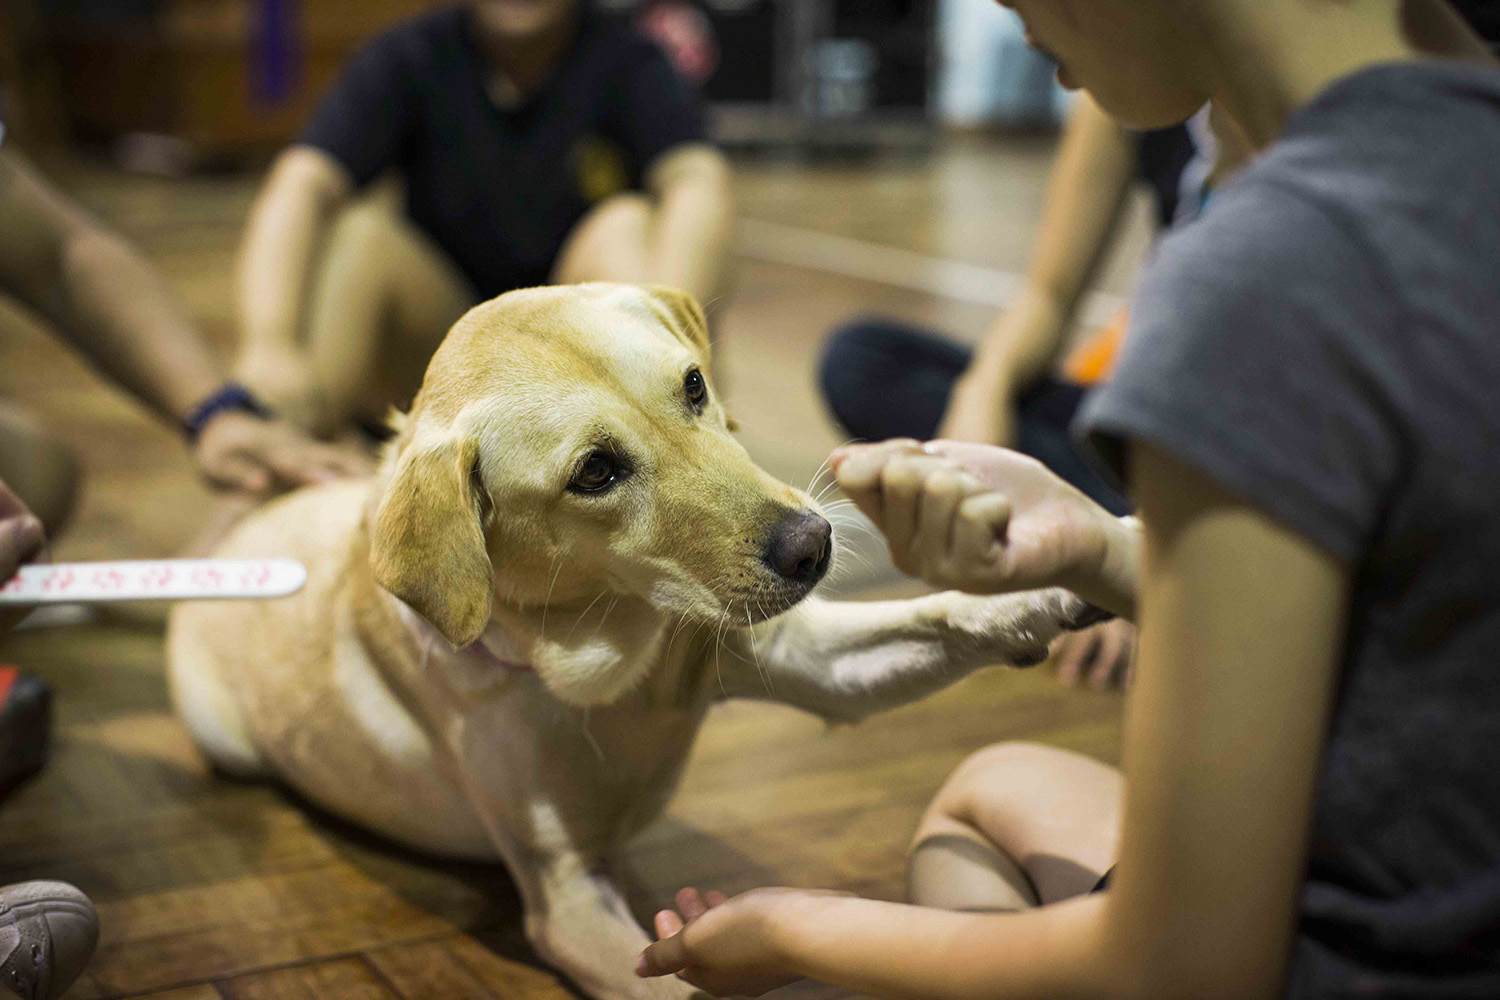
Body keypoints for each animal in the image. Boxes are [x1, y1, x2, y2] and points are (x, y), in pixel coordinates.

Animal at [170, 283, 1098, 1000]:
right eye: (594, 472)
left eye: (693, 386)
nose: (814, 544)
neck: (620, 659)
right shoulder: (569, 901)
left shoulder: (810, 664)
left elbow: (936, 616)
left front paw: (1055, 584)